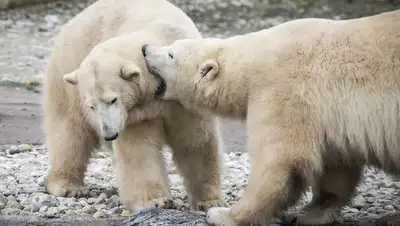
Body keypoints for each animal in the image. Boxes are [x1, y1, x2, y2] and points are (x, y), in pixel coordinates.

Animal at [42, 0, 228, 212]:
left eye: (112, 100)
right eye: (92, 107)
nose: (109, 134)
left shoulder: (183, 99)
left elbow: (195, 142)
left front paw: (210, 201)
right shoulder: (137, 113)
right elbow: (140, 149)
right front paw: (156, 201)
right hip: (67, 72)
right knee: (69, 132)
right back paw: (67, 186)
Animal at [142, 9, 400, 226]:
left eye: (170, 53)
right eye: (171, 46)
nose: (145, 49)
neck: (250, 63)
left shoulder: (282, 91)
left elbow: (278, 161)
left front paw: (224, 214)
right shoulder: (329, 117)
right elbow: (336, 164)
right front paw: (309, 213)